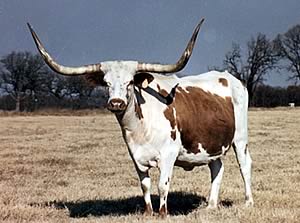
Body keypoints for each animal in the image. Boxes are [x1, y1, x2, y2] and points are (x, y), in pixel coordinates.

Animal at [27, 18, 253, 217]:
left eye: (129, 82)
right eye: (106, 83)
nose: (116, 103)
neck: (141, 129)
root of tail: (230, 77)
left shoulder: (169, 154)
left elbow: (162, 185)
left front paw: (163, 213)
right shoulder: (136, 156)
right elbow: (145, 185)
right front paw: (148, 212)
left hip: (240, 138)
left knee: (244, 165)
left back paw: (248, 202)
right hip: (212, 144)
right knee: (217, 167)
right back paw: (211, 206)